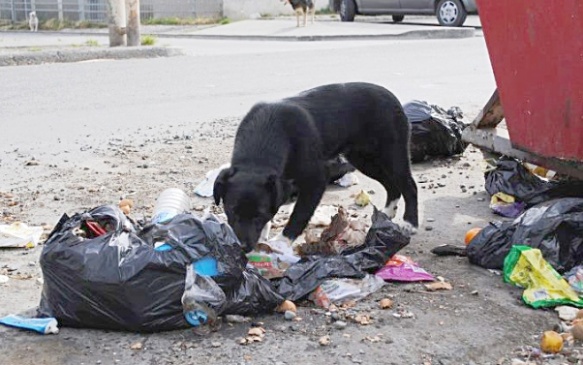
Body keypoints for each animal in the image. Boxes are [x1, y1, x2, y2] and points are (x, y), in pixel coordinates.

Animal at [214, 82, 420, 252]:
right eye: (231, 210)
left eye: (259, 215)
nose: (242, 247)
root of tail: (391, 96)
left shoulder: (316, 179)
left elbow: (299, 214)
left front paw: (281, 242)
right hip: (362, 159)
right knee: (391, 185)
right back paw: (387, 213)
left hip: (394, 153)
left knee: (408, 185)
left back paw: (410, 223)